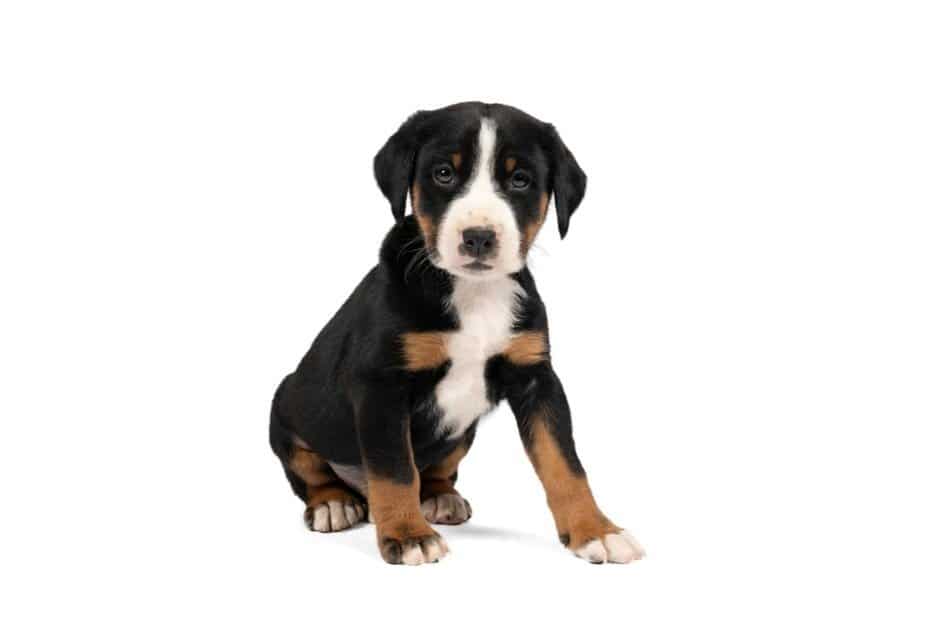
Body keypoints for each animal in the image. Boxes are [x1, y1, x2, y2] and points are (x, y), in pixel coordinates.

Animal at [268, 101, 644, 564]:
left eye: (520, 180)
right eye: (444, 173)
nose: (479, 237)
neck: (474, 293)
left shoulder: (536, 377)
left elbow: (564, 463)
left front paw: (596, 530)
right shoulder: (381, 386)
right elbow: (395, 470)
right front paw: (408, 535)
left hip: (462, 434)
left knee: (435, 472)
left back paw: (440, 497)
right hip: (285, 406)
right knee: (312, 473)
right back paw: (334, 503)